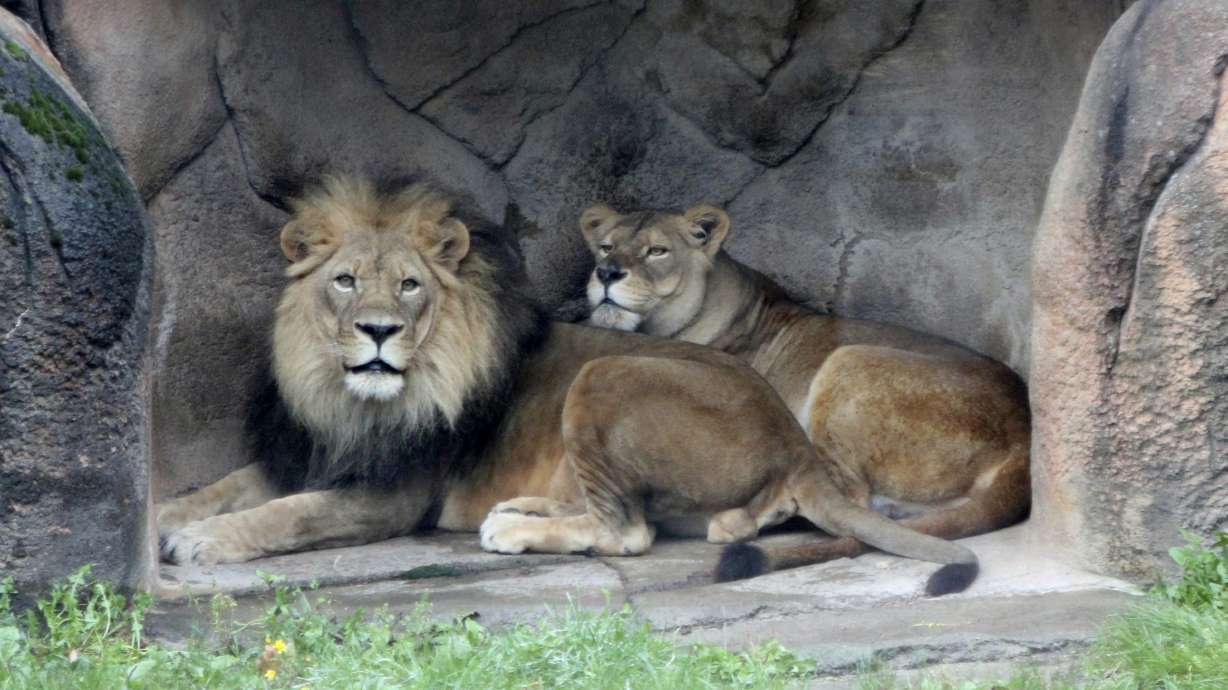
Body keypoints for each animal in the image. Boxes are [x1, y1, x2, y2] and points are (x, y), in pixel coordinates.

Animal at [156, 177, 978, 595]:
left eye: (412, 286)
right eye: (345, 281)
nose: (379, 331)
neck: (351, 399)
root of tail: (795, 443)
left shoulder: (391, 492)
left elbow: (288, 515)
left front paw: (201, 542)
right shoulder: (311, 453)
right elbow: (228, 486)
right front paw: (166, 514)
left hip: (604, 372)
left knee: (629, 530)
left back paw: (514, 529)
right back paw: (524, 508)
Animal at [580, 202, 1030, 580]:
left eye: (657, 251)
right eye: (605, 247)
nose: (607, 273)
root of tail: (1023, 441)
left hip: (848, 359)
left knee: (847, 502)